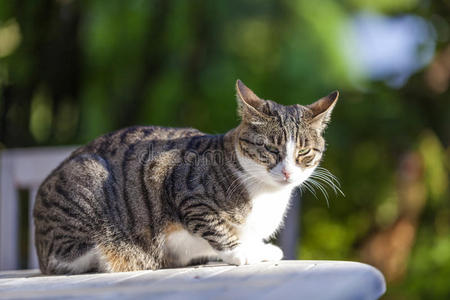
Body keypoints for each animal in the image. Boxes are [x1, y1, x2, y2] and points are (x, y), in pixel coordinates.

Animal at [33, 79, 340, 274]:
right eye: (271, 149)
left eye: (303, 152)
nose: (287, 171)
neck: (267, 194)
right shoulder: (181, 188)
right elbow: (216, 227)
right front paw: (241, 252)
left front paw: (261, 249)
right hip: (87, 182)